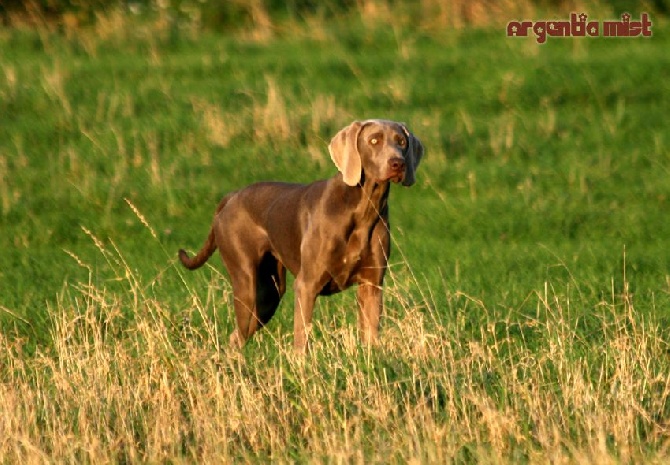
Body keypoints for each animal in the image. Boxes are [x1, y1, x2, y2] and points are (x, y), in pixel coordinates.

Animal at [180, 119, 426, 352]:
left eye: (401, 142)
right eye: (374, 140)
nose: (397, 163)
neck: (363, 208)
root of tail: (231, 196)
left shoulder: (372, 285)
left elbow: (370, 335)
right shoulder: (307, 285)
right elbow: (302, 339)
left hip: (268, 296)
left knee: (236, 337)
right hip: (247, 283)